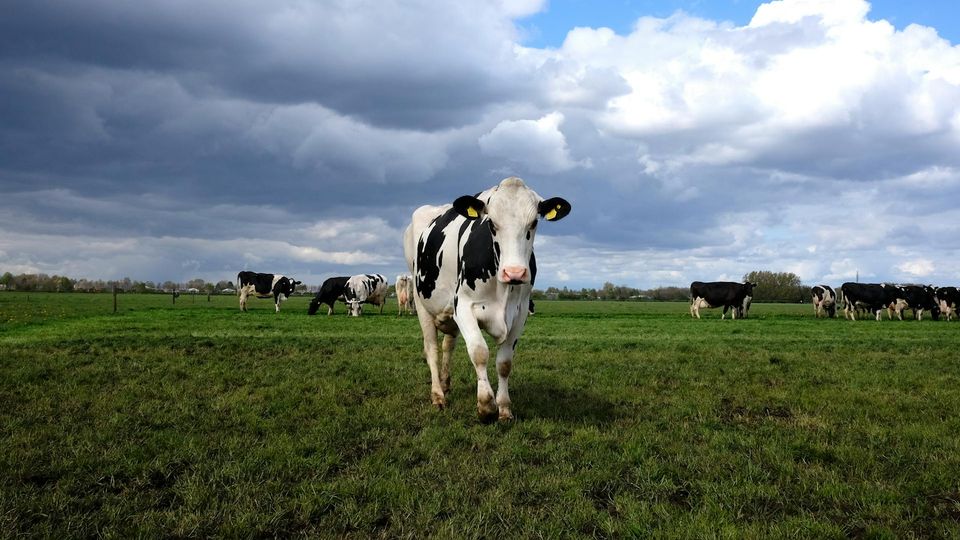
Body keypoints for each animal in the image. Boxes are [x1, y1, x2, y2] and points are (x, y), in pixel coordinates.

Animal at [403, 176, 571, 422]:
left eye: (533, 223)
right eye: (491, 223)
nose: (514, 272)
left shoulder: (520, 313)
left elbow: (504, 363)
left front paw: (504, 407)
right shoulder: (463, 306)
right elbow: (479, 352)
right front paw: (485, 405)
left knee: (447, 345)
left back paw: (445, 383)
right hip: (421, 301)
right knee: (431, 349)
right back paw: (437, 395)